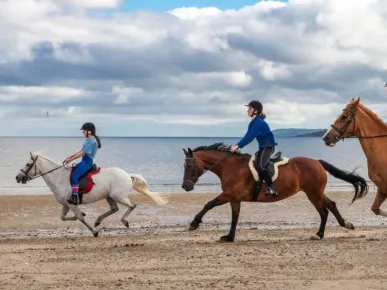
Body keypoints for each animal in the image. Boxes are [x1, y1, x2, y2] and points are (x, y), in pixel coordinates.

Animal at [15, 151, 170, 237]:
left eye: (28, 164)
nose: (17, 177)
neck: (59, 177)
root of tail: (127, 175)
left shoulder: (72, 204)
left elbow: (80, 218)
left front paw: (94, 232)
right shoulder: (66, 204)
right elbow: (63, 218)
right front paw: (88, 220)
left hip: (118, 196)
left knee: (132, 205)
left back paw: (124, 221)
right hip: (109, 197)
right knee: (114, 208)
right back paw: (98, 221)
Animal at [182, 143, 370, 242]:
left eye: (190, 166)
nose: (185, 187)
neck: (230, 167)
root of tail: (318, 162)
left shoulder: (229, 195)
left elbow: (209, 204)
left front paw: (194, 223)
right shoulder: (235, 199)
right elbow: (235, 217)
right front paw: (229, 237)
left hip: (313, 193)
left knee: (323, 210)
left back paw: (320, 234)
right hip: (317, 192)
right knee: (331, 205)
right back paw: (345, 224)